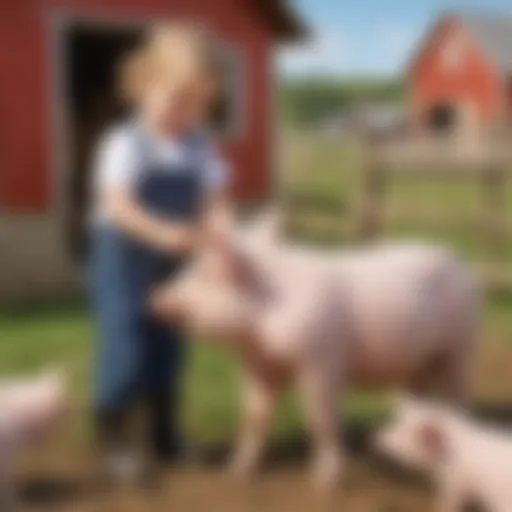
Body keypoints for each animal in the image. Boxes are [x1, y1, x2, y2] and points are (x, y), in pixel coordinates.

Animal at [150, 211, 478, 488]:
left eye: (204, 274)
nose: (156, 298)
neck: (261, 330)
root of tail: (461, 265)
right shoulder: (260, 364)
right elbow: (254, 415)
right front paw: (237, 471)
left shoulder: (322, 361)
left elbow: (320, 418)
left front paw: (327, 482)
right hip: (418, 362)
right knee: (417, 393)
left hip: (462, 346)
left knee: (459, 398)